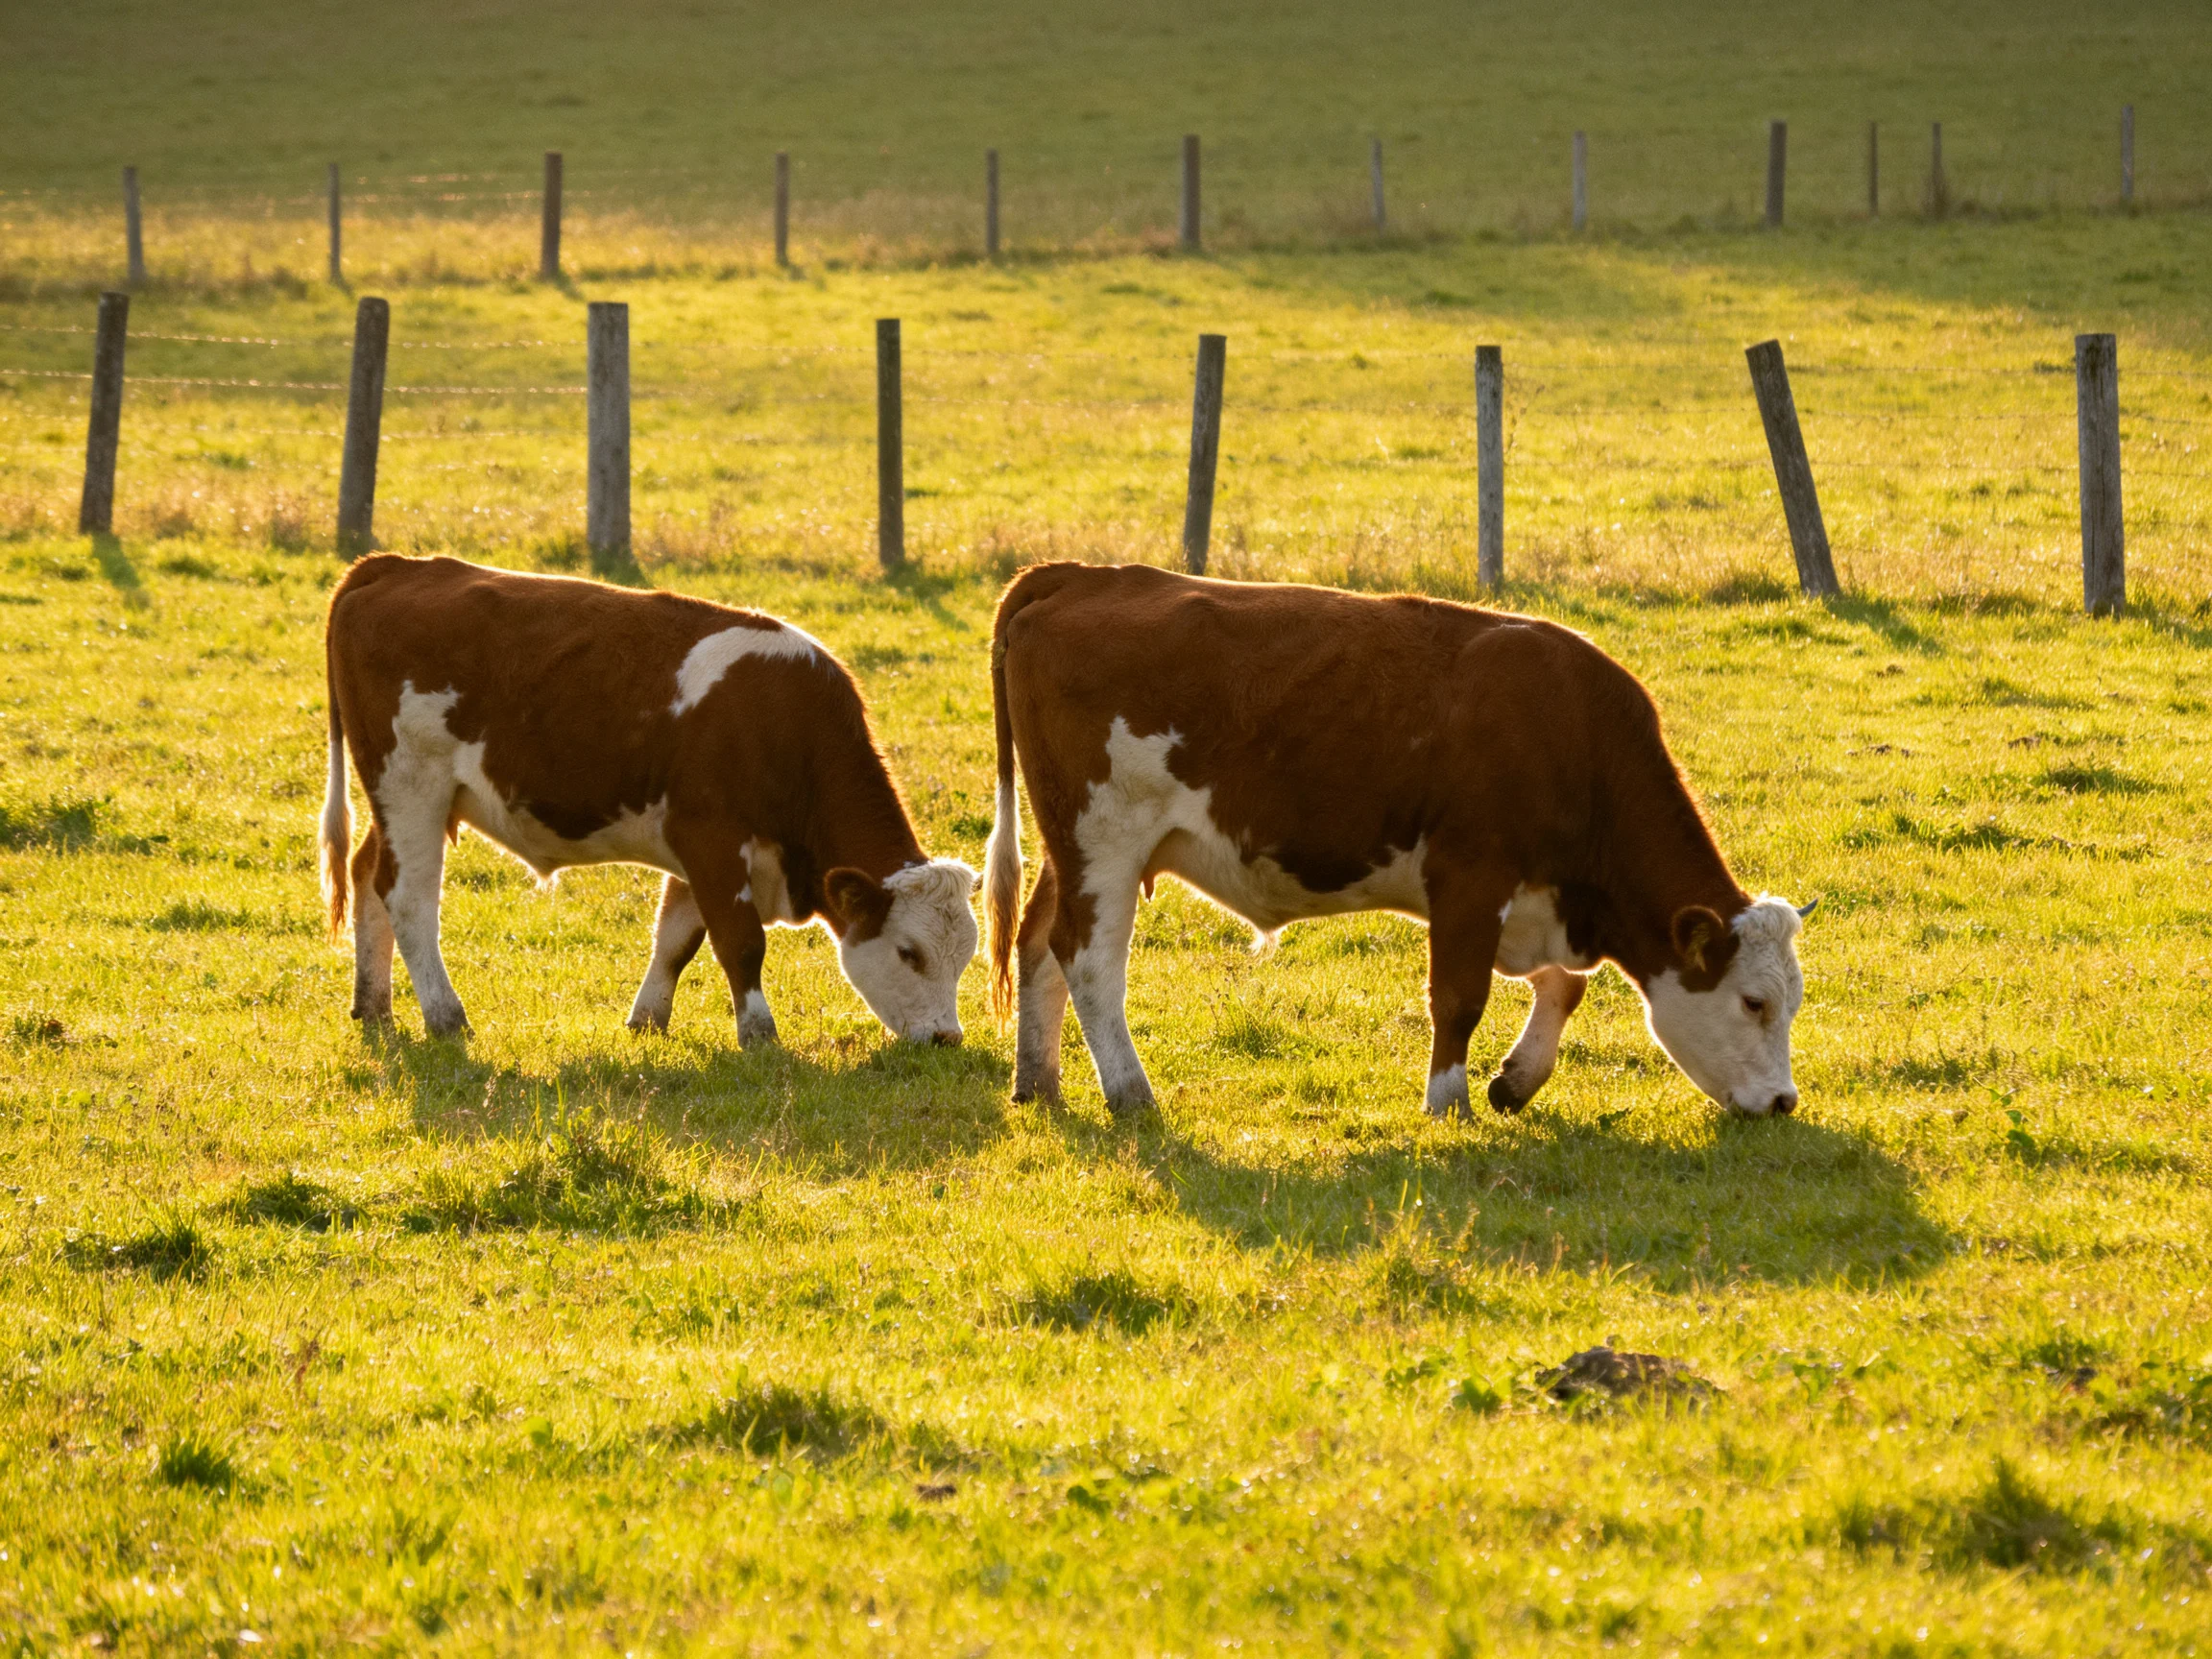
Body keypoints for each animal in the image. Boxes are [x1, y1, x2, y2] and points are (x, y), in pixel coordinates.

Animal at [320, 555, 979, 1046]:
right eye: (909, 953)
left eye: (966, 957)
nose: (947, 1038)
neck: (785, 725)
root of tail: (394, 566)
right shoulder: (712, 839)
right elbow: (741, 943)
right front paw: (760, 1035)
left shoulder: (696, 850)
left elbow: (677, 939)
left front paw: (647, 1019)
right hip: (411, 783)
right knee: (408, 897)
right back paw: (445, 1016)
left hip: (405, 797)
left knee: (367, 873)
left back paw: (373, 1005)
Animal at [982, 563, 1812, 1121]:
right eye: (1754, 1002)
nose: (1784, 1102)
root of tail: (1083, 576)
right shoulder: (1471, 875)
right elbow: (1459, 997)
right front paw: (1449, 1103)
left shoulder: (1540, 899)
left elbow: (1565, 986)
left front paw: (1516, 1080)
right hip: (1106, 839)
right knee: (1089, 961)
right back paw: (1129, 1091)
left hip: (1072, 847)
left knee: (1038, 943)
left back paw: (1038, 1081)